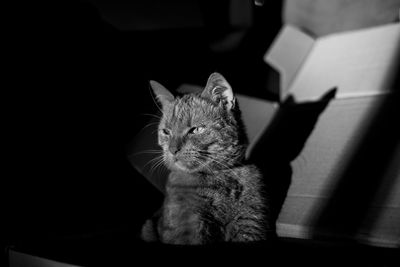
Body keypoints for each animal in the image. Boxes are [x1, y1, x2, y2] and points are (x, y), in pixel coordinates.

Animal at [141, 73, 276, 245]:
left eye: (196, 130)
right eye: (166, 132)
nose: (172, 149)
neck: (217, 178)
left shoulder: (250, 220)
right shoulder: (191, 227)